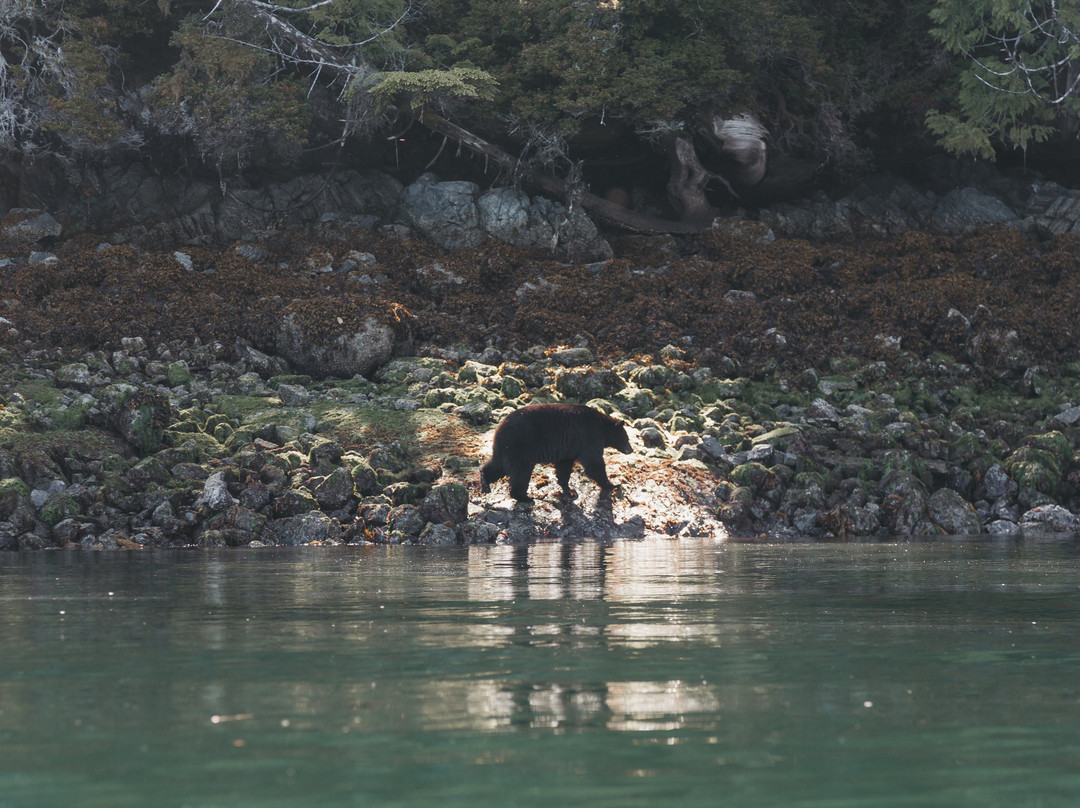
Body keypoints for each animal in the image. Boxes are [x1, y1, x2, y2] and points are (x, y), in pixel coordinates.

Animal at [481, 401, 630, 501]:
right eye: (627, 438)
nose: (631, 449)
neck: (603, 428)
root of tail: (500, 427)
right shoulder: (589, 436)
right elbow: (594, 463)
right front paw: (612, 484)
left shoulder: (570, 447)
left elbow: (564, 466)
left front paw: (569, 490)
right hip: (521, 445)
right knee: (521, 472)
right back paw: (524, 497)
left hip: (505, 448)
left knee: (498, 466)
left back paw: (485, 482)